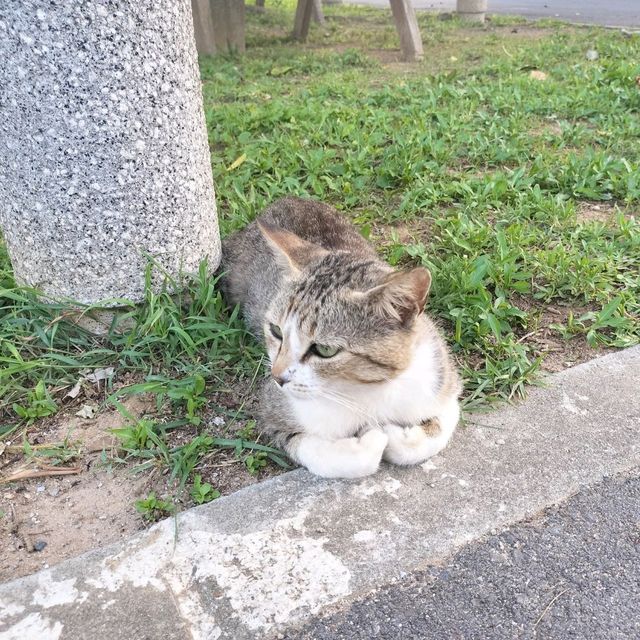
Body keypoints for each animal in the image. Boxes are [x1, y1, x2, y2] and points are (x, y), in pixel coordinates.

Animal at [221, 198, 460, 478]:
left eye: (325, 350)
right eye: (276, 331)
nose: (277, 377)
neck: (366, 390)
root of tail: (288, 199)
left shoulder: (440, 379)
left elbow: (438, 431)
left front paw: (397, 433)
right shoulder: (275, 412)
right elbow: (326, 454)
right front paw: (373, 437)